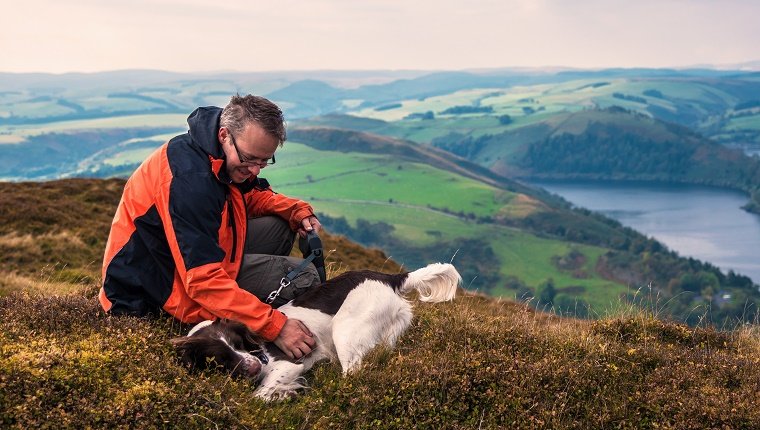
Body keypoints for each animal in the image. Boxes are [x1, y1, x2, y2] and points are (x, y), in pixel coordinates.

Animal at [171, 262, 458, 400]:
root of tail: (389, 277)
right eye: (216, 358)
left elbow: (257, 396)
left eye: (239, 344)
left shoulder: (288, 364)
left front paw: (282, 394)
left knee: (353, 372)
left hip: (345, 331)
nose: (254, 366)